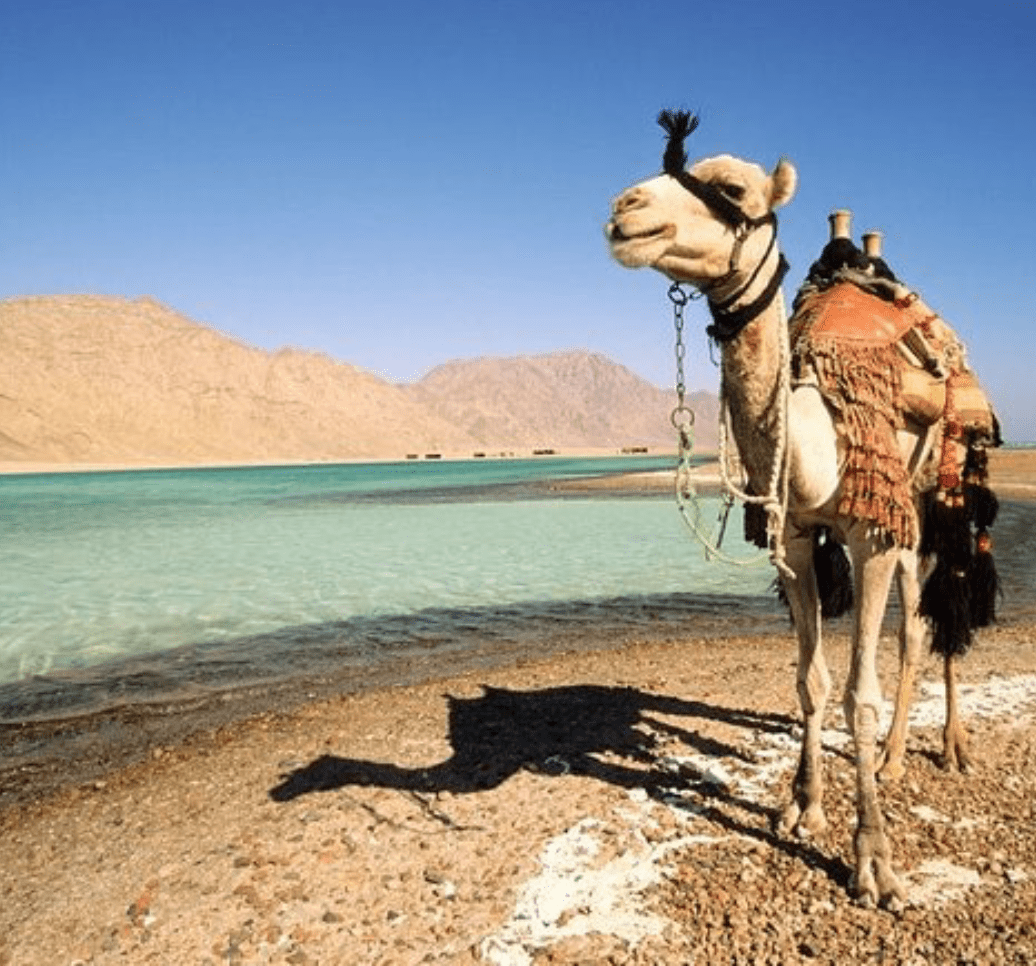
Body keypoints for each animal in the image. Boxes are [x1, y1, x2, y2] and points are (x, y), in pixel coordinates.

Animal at [604, 111, 999, 908]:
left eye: (731, 188)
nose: (625, 209)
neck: (820, 429)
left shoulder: (870, 534)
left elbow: (858, 694)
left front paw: (874, 862)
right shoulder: (793, 539)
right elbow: (811, 682)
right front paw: (802, 806)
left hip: (937, 495)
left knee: (933, 613)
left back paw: (941, 749)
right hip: (905, 517)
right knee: (915, 623)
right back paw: (891, 759)